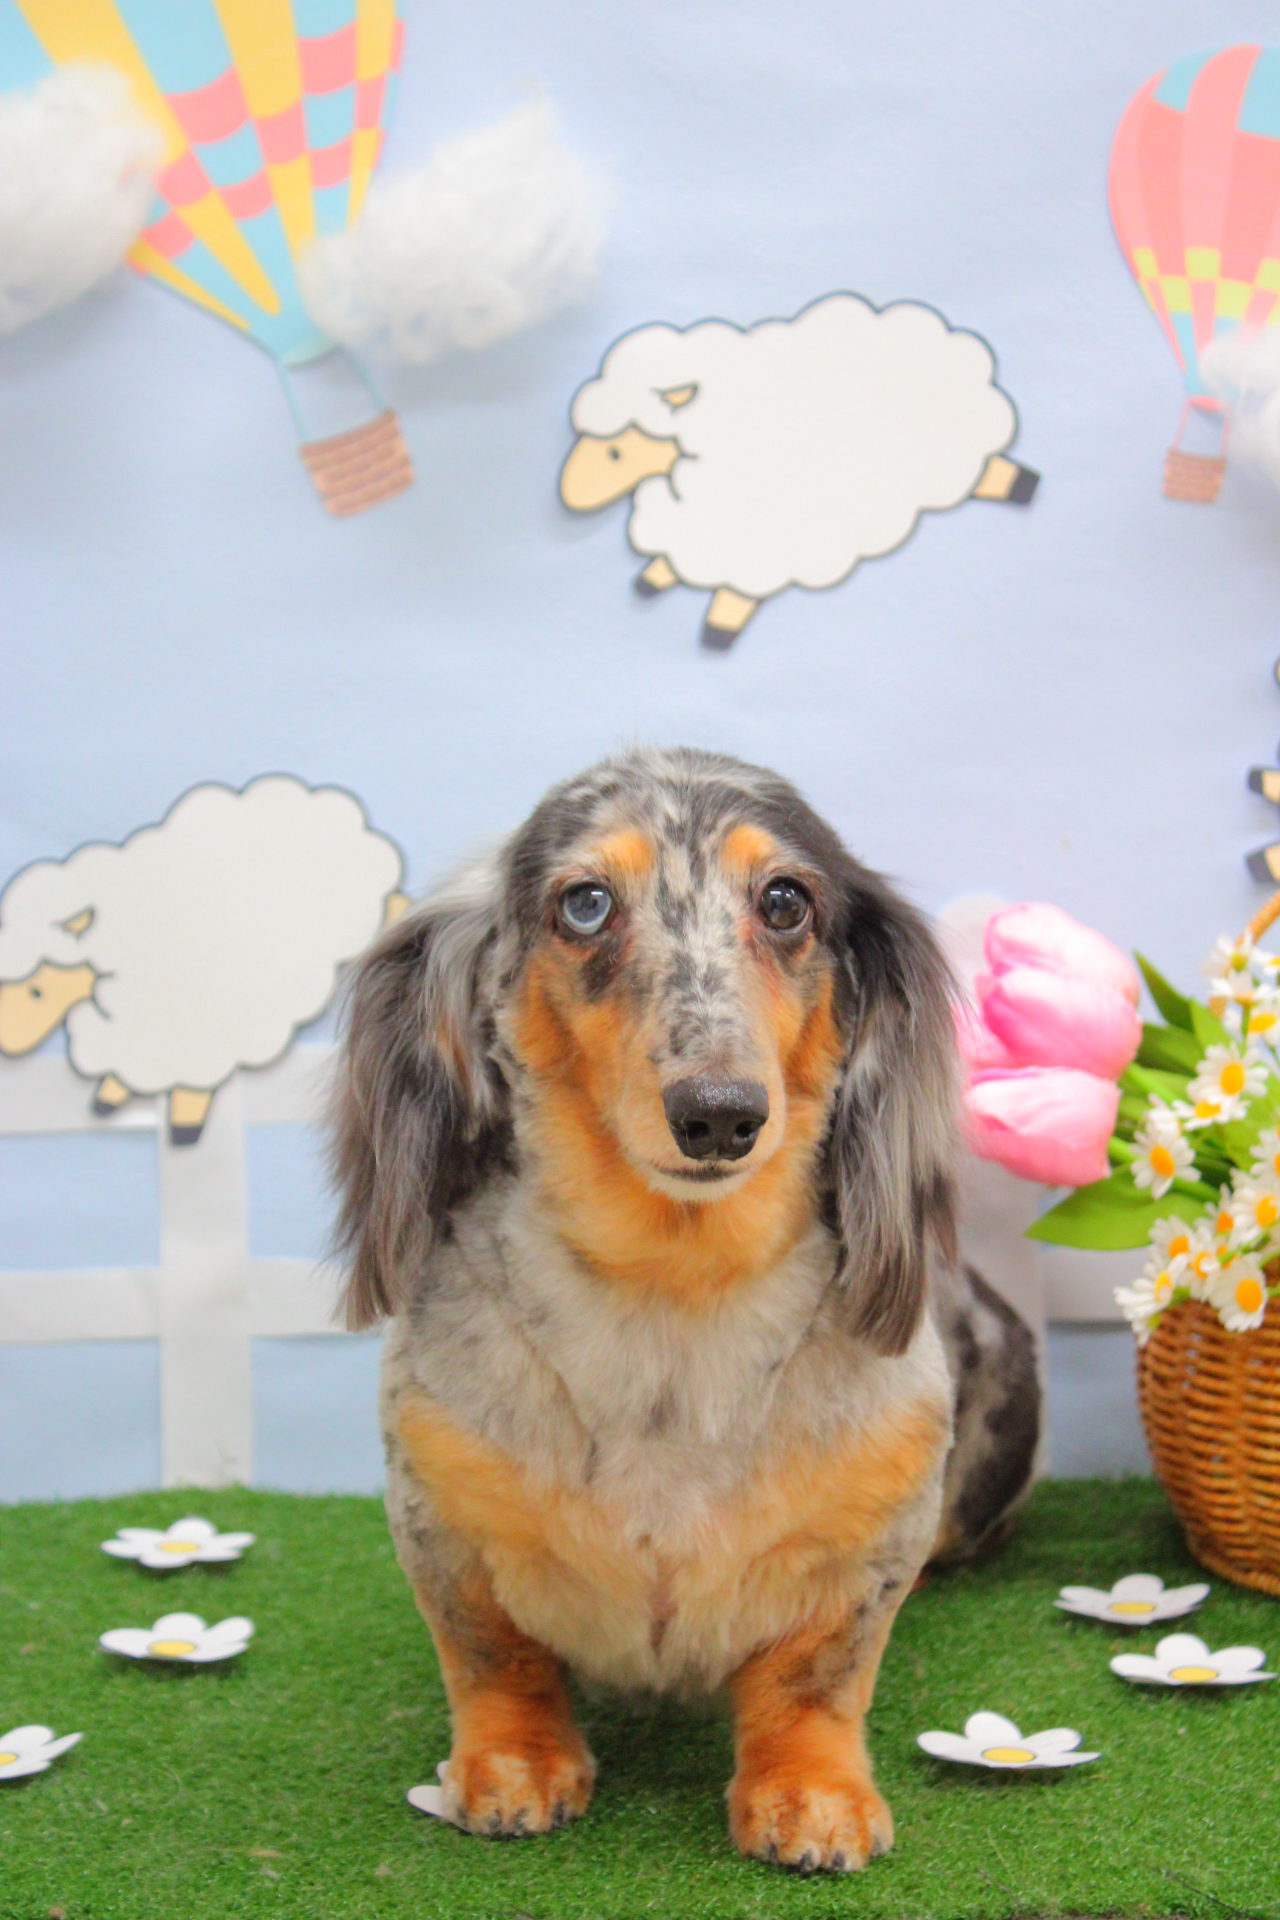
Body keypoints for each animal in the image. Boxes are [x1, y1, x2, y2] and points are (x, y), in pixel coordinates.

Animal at [332, 746, 1039, 1874]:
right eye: (583, 903)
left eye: (787, 901)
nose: (719, 1114)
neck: (672, 1290)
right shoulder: (438, 1518)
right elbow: (494, 1657)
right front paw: (513, 1767)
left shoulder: (864, 1547)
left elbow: (814, 1676)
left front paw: (812, 1797)